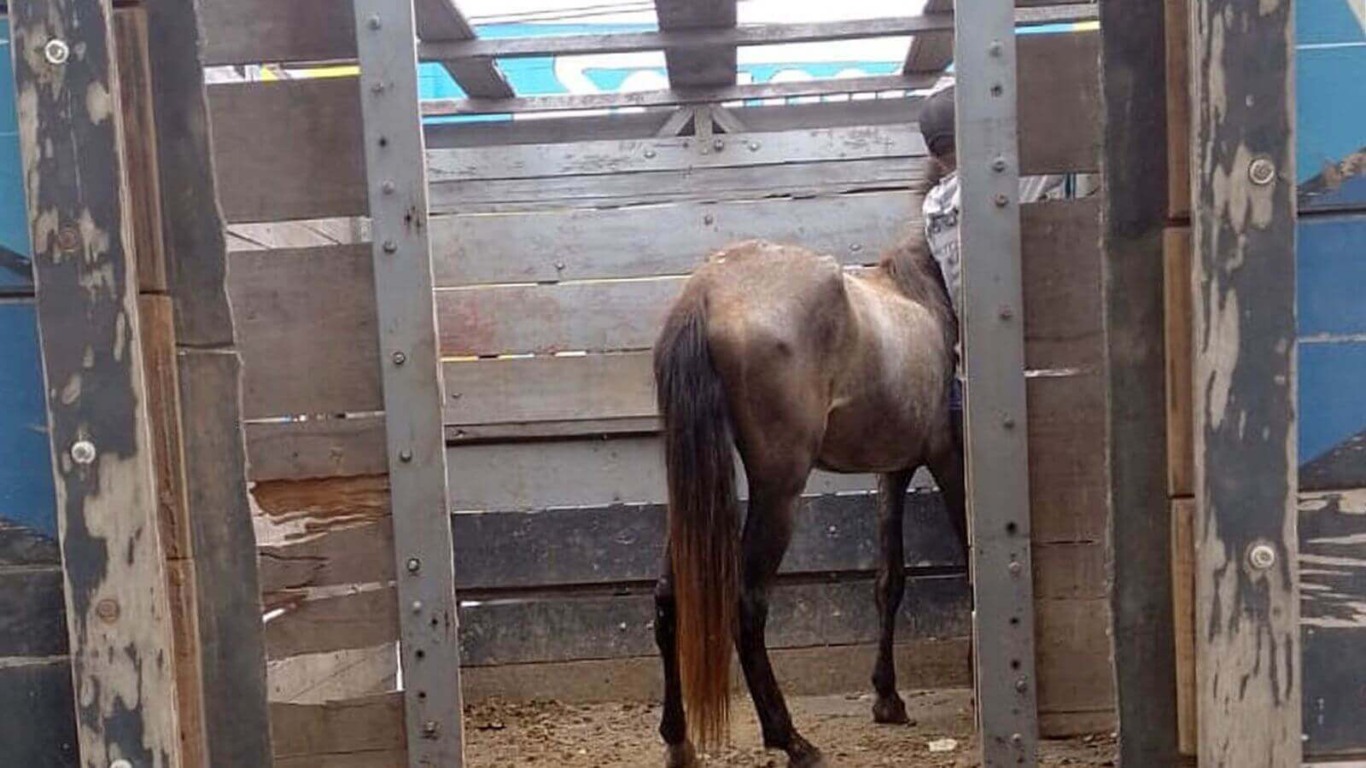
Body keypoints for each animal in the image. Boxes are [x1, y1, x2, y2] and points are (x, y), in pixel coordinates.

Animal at [651, 176, 969, 768]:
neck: (924, 294)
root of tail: (706, 292)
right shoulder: (949, 459)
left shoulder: (894, 469)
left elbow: (889, 579)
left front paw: (887, 697)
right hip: (779, 490)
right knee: (747, 604)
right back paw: (792, 739)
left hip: (695, 497)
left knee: (668, 598)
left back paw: (679, 740)